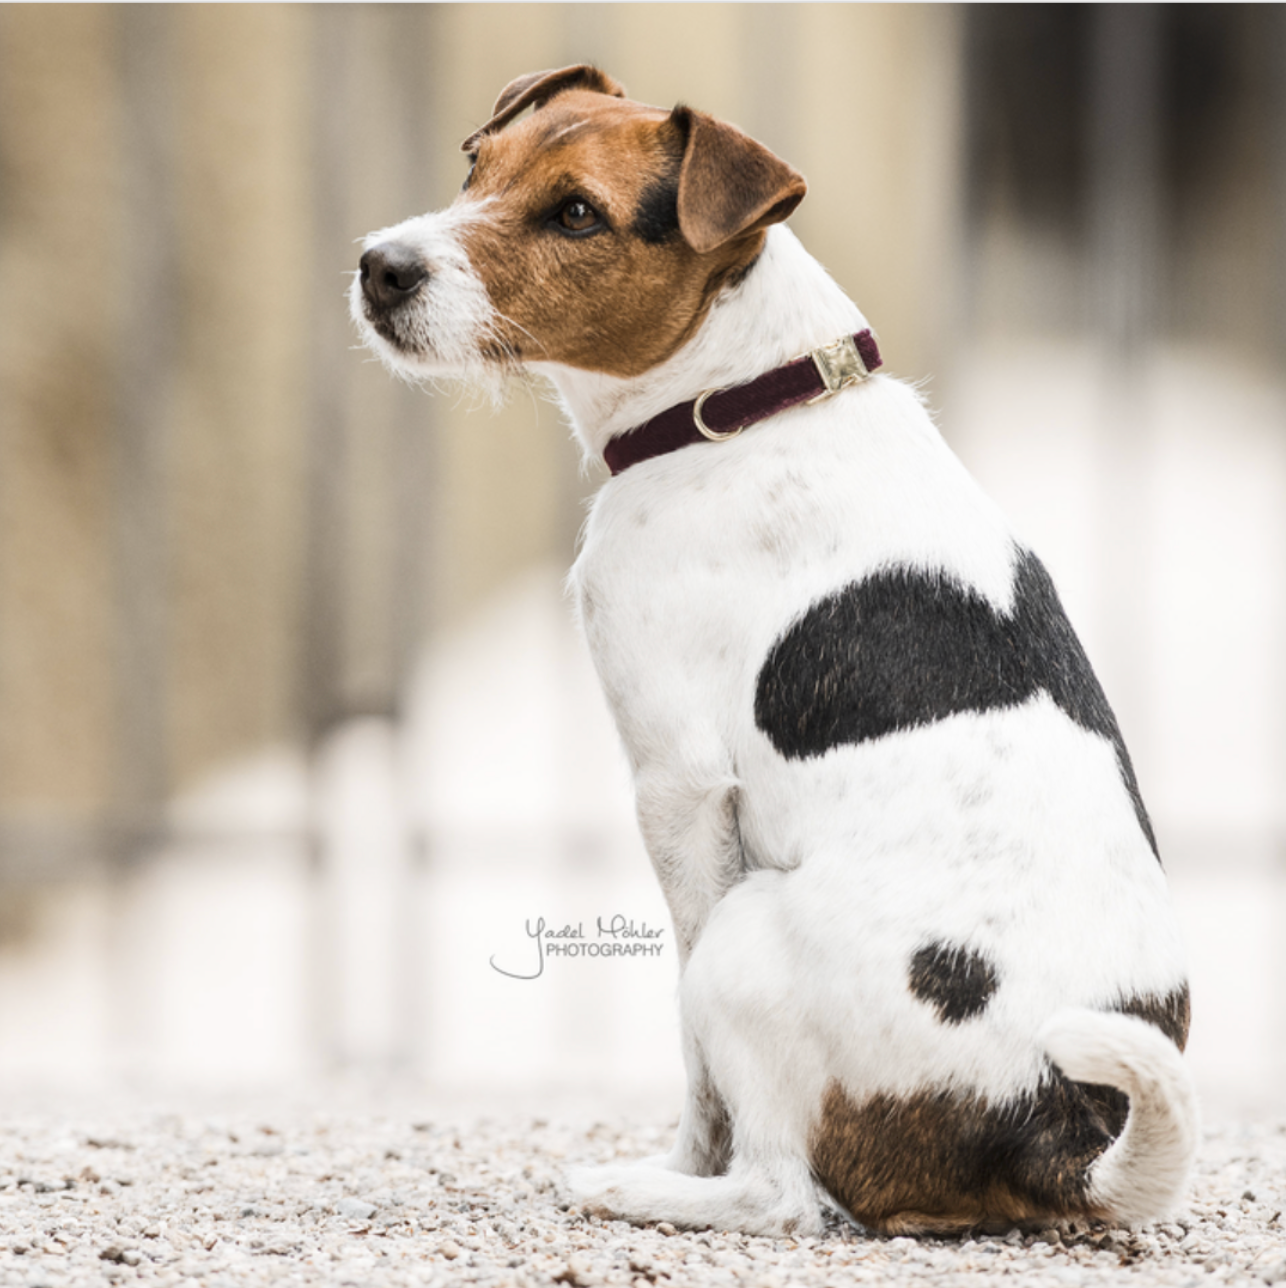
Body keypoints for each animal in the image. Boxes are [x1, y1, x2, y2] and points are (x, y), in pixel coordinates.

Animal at [353, 67, 1195, 1236]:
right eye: (477, 165)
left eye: (577, 214)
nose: (378, 265)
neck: (744, 403)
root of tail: (1052, 1129)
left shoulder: (678, 787)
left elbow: (692, 1060)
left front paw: (679, 1158)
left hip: (748, 936)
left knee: (779, 1194)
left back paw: (635, 1189)